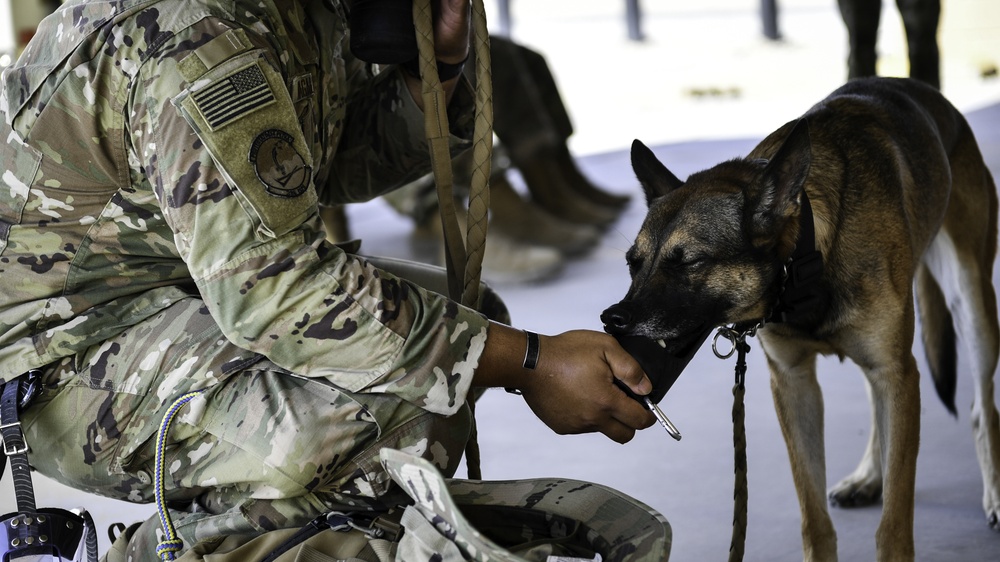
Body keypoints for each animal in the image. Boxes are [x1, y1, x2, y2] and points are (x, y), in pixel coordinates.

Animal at [600, 75, 1000, 560]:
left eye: (690, 262)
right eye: (633, 264)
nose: (612, 320)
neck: (808, 260)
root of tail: (922, 87)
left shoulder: (897, 372)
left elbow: (894, 523)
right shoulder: (794, 383)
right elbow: (814, 517)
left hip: (971, 301)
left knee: (982, 407)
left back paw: (994, 495)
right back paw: (870, 475)